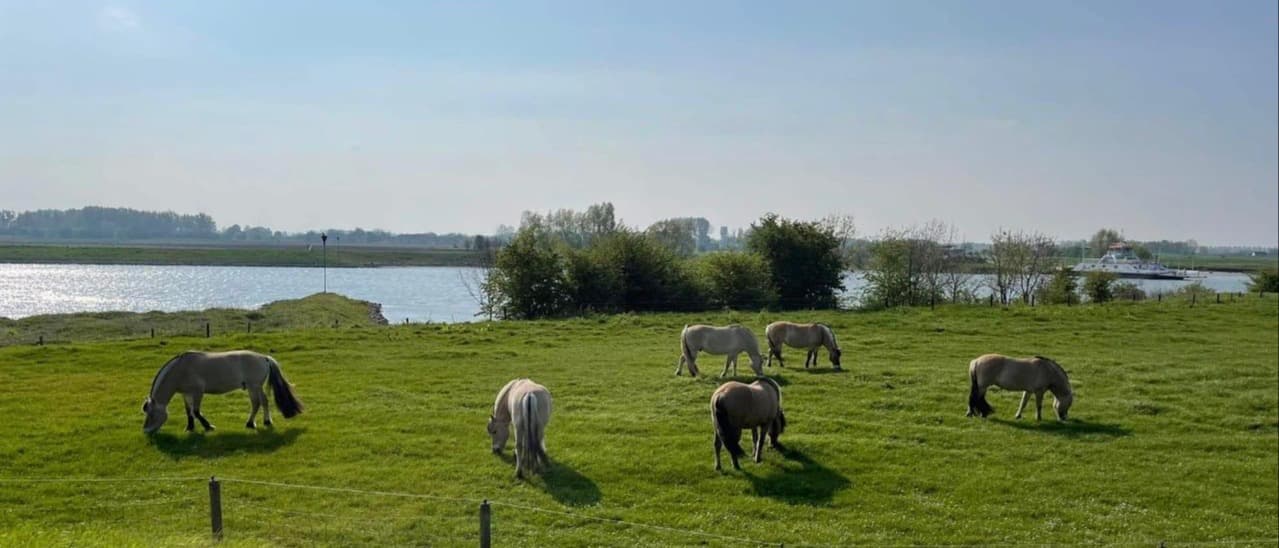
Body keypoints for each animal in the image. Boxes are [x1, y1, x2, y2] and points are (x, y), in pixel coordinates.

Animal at [142, 350, 304, 434]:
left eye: (151, 414)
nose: (146, 431)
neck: (181, 369)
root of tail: (264, 358)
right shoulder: (186, 394)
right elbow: (189, 412)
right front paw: (190, 428)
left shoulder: (198, 392)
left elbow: (196, 411)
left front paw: (208, 427)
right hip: (254, 387)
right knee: (262, 402)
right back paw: (258, 422)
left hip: (254, 386)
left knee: (258, 403)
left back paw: (257, 423)